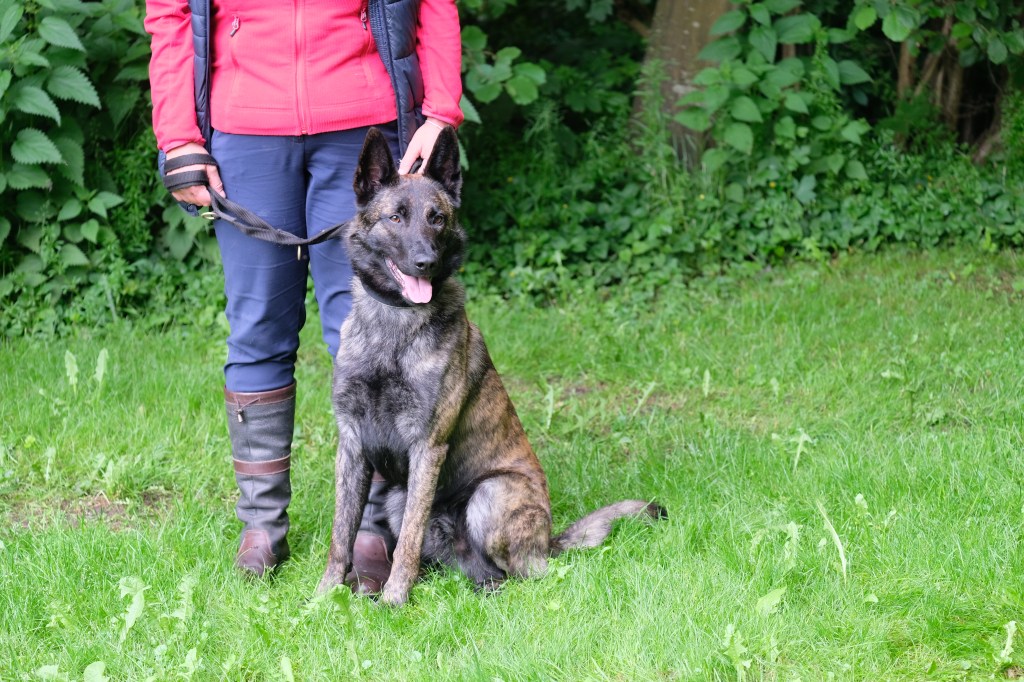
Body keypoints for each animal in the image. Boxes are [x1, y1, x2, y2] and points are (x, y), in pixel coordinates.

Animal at [317, 126, 665, 606]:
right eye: (396, 218)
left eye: (437, 218)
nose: (426, 262)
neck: (394, 326)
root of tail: (549, 540)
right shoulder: (352, 443)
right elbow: (342, 532)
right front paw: (323, 597)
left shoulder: (427, 446)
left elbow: (406, 543)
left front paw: (394, 599)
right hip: (398, 498)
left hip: (491, 493)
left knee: (525, 573)